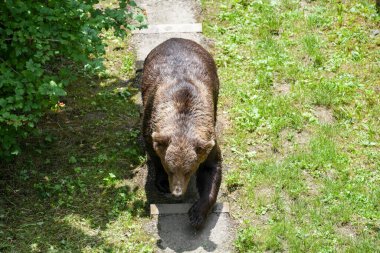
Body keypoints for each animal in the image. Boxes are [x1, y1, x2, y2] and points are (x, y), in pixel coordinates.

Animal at [141, 38, 221, 229]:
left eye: (189, 170)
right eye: (170, 169)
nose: (177, 193)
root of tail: (176, 39)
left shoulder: (209, 140)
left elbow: (211, 169)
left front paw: (196, 214)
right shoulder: (150, 127)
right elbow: (154, 154)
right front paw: (162, 182)